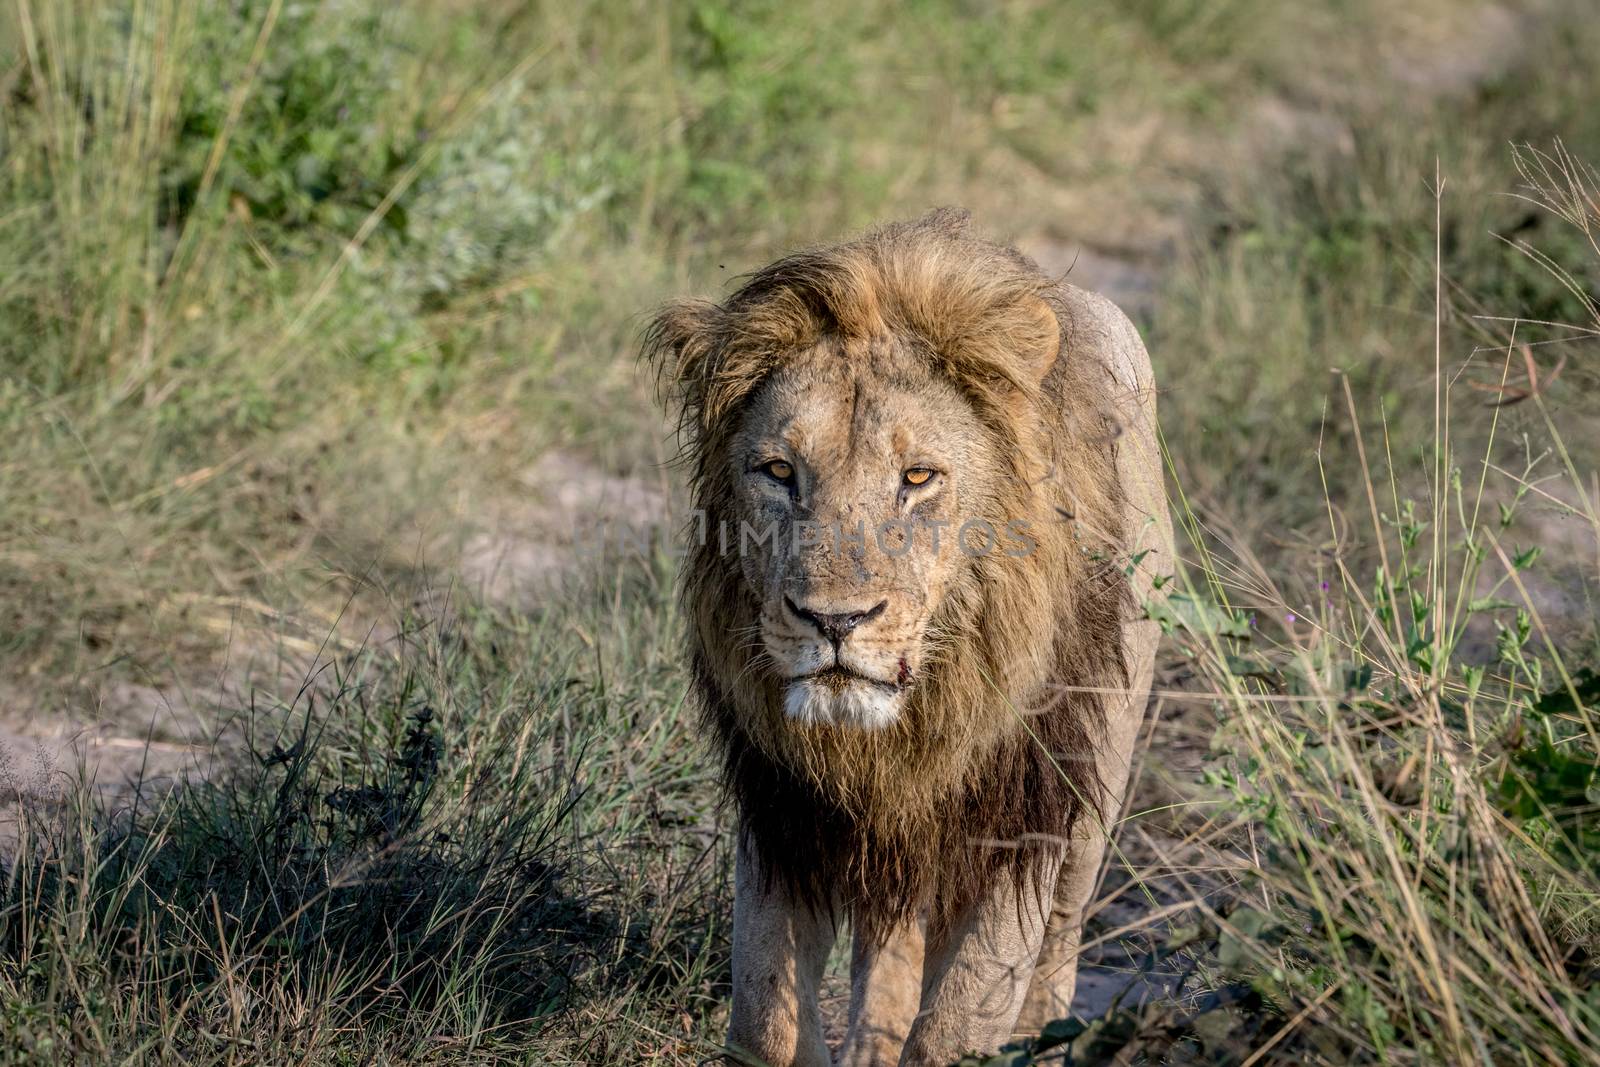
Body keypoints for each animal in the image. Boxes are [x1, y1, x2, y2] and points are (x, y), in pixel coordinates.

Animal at [643, 211, 1171, 1067]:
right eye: (778, 470)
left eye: (918, 477)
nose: (834, 620)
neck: (901, 734)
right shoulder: (784, 811)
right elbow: (766, 1016)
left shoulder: (1019, 820)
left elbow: (960, 1022)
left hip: (1096, 797)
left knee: (1056, 954)